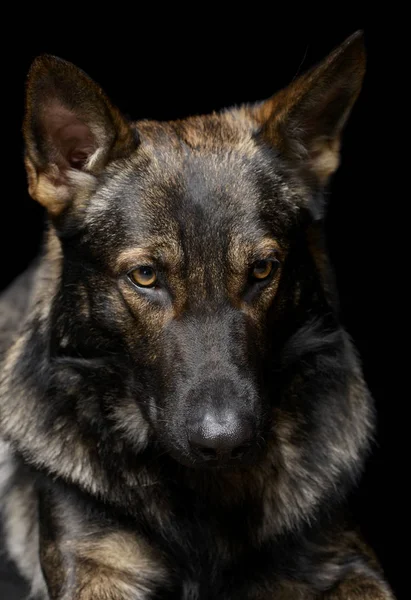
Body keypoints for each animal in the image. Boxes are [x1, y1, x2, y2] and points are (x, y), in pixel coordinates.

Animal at [0, 31, 396, 600]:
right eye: (146, 276)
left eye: (262, 269)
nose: (224, 443)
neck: (203, 500)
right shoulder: (95, 565)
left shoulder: (344, 559)